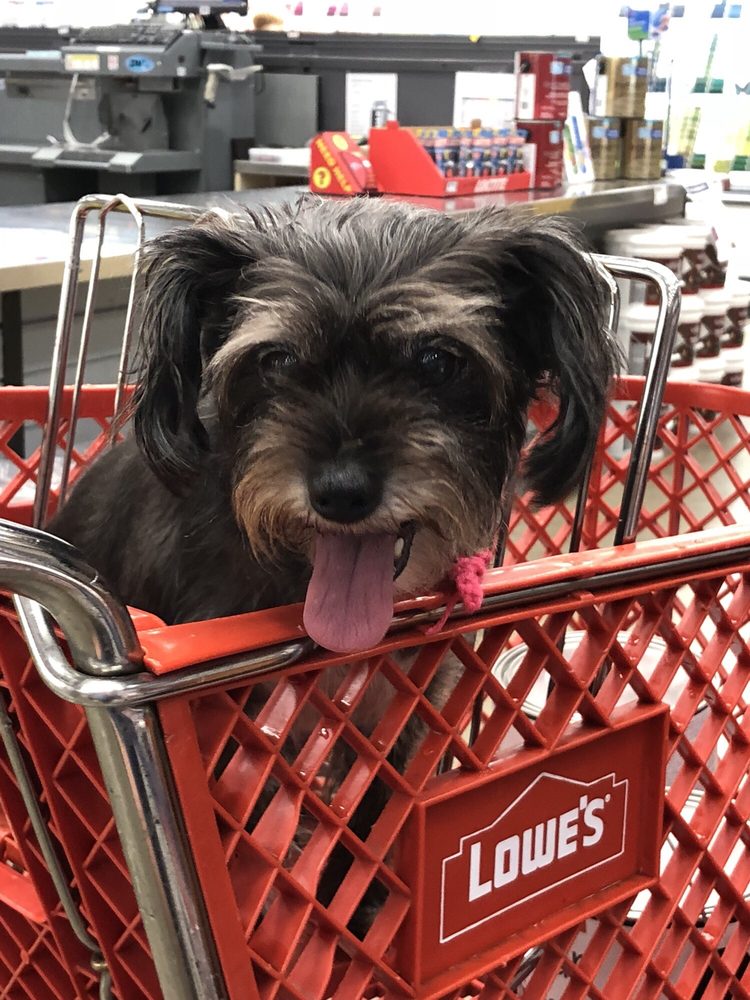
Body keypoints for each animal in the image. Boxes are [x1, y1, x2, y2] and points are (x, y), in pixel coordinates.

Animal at [49, 197, 617, 929]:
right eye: (277, 358)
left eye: (439, 360)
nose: (342, 493)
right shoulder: (230, 733)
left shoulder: (399, 717)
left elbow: (370, 818)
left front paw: (359, 906)